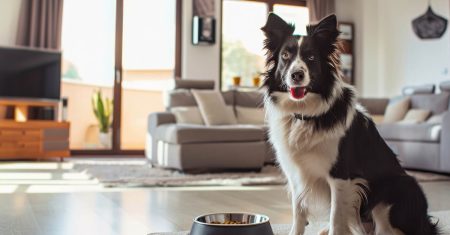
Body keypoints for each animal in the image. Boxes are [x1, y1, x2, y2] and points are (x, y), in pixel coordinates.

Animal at [262, 13, 438, 235]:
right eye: (285, 55)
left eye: (311, 57)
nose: (297, 75)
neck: (305, 113)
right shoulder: (296, 175)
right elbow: (299, 214)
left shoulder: (341, 177)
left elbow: (336, 219)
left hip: (398, 189)